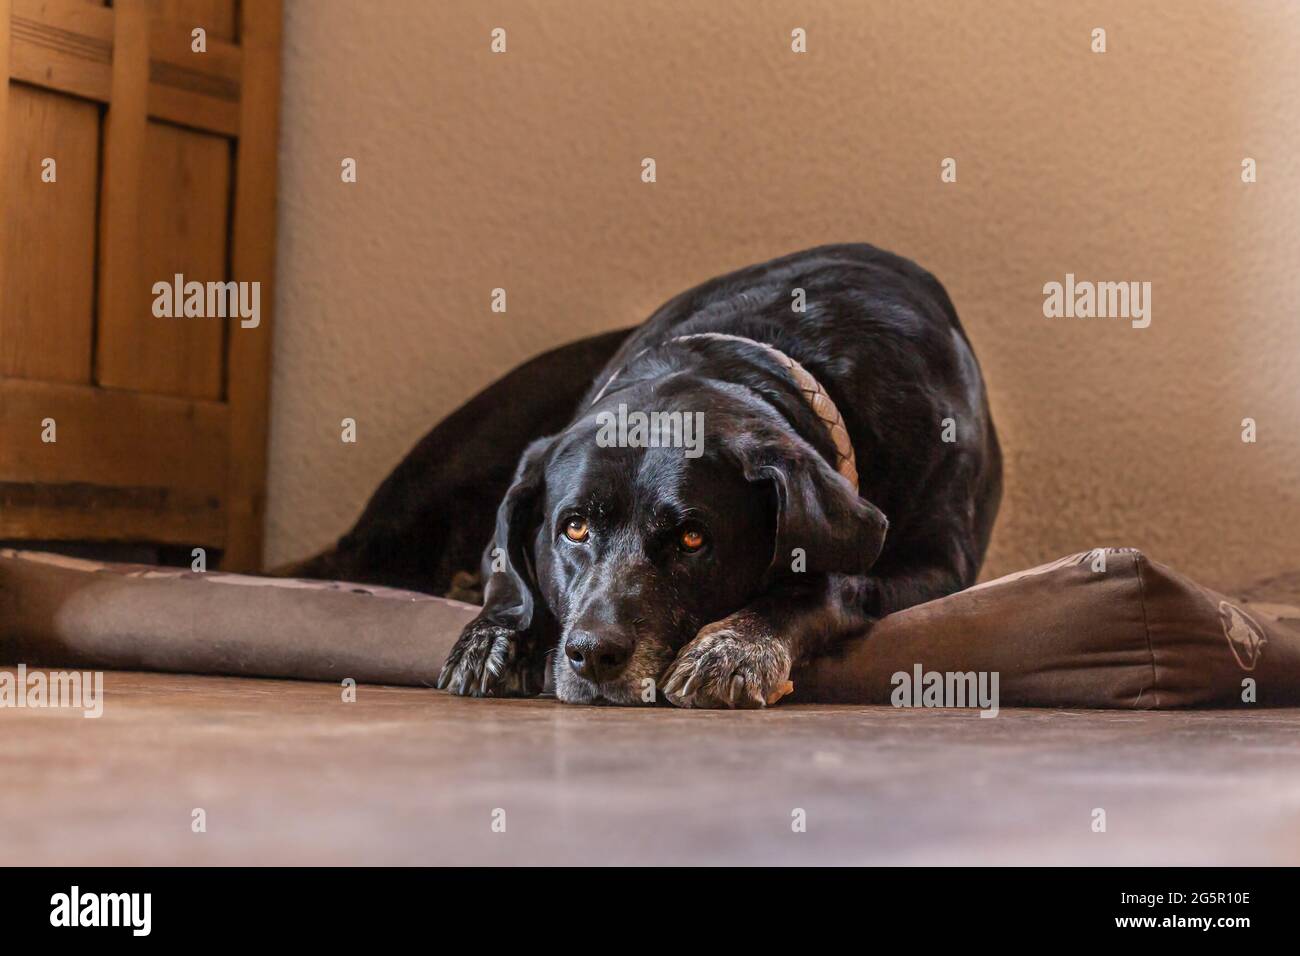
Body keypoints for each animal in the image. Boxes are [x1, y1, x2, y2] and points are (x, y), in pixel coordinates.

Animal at [289, 244, 998, 712]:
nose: (593, 654)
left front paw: (735, 645)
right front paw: (496, 632)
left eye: (693, 539)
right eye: (573, 528)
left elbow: (827, 581)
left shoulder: (939, 566)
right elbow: (510, 570)